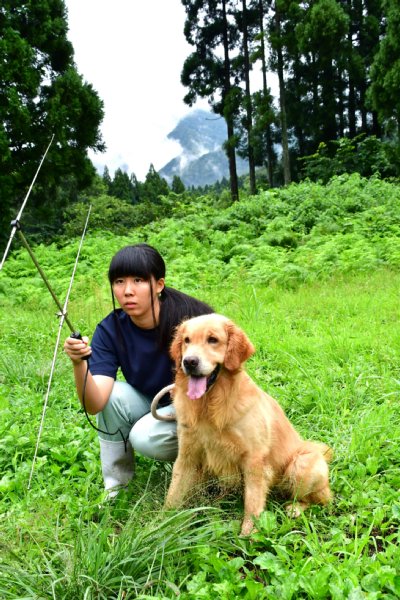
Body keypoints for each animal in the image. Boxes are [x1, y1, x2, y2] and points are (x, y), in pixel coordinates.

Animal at [164, 314, 332, 536]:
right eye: (186, 341)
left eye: (212, 339)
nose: (189, 362)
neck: (210, 406)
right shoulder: (187, 455)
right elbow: (173, 495)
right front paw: (159, 527)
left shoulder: (254, 460)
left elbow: (251, 504)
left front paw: (247, 536)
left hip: (301, 465)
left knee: (320, 499)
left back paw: (296, 508)